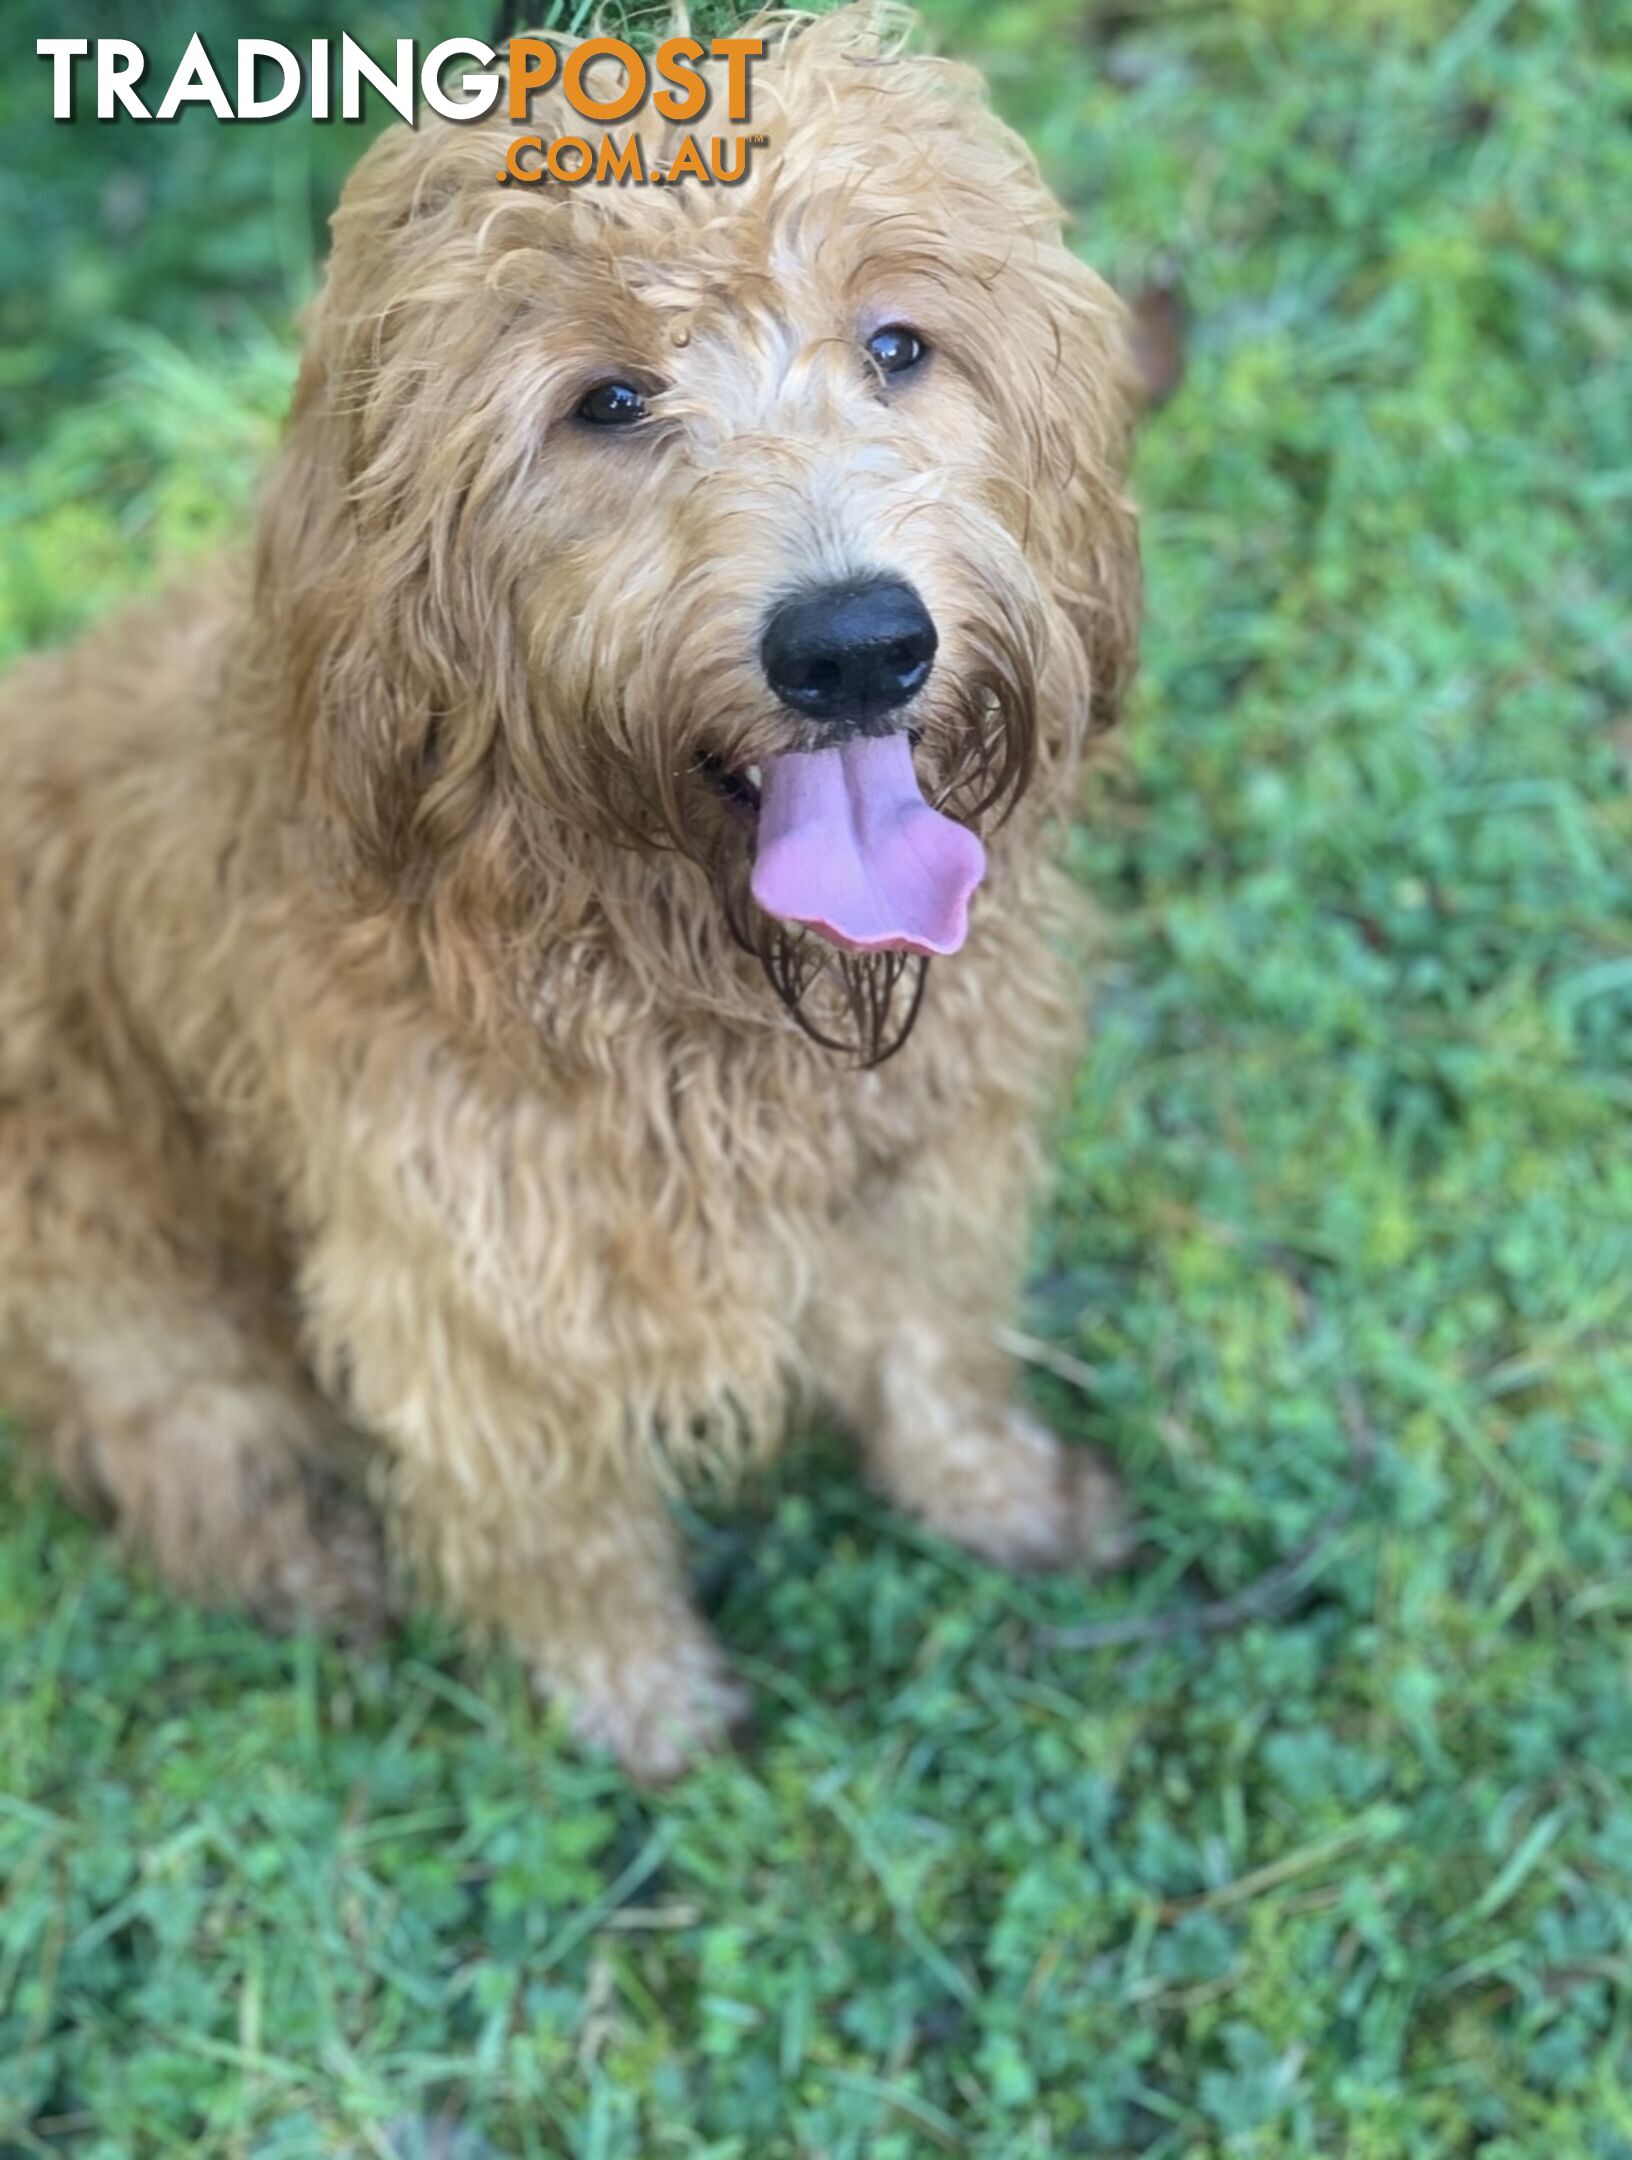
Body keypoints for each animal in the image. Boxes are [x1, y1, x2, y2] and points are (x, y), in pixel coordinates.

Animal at [0, 8, 1139, 1779]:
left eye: (898, 345)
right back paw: (309, 1559)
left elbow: (935, 1345)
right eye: (606, 400)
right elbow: (558, 1522)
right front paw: (641, 1702)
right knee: (175, 1431)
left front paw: (1001, 1494)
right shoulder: (471, 1285)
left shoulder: (922, 1153)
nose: (855, 648)